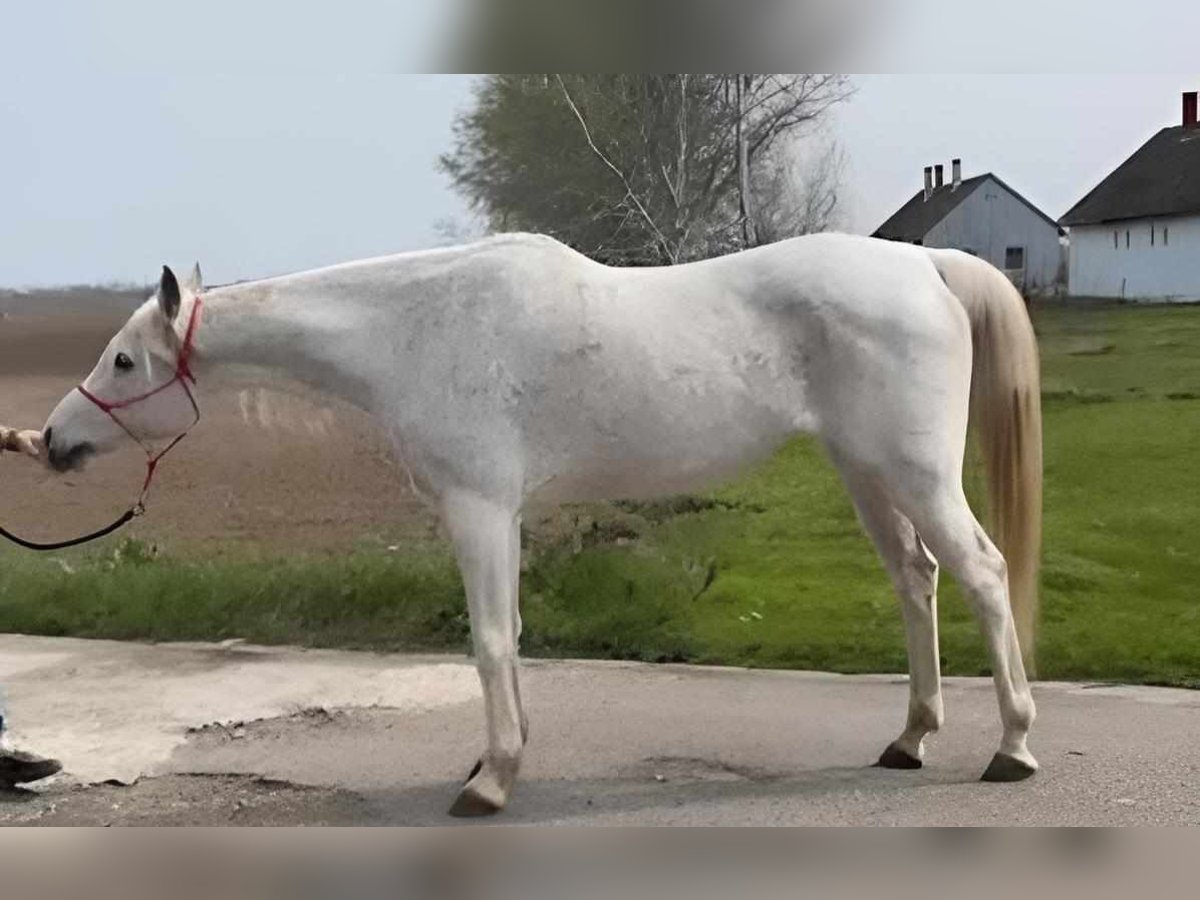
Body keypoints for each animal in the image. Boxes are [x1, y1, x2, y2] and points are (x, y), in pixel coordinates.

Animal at [42, 232, 1041, 816]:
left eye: (123, 360)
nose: (51, 440)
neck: (418, 331)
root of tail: (924, 263)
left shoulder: (479, 509)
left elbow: (489, 641)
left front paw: (490, 781)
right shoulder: (503, 515)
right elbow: (513, 636)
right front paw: (499, 760)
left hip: (915, 474)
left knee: (985, 574)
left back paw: (1013, 746)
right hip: (868, 473)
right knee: (917, 579)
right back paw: (910, 738)